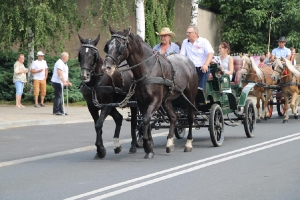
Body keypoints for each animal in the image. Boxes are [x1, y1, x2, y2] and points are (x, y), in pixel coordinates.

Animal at [103, 25, 199, 159]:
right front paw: (149, 147)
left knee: (190, 117)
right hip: (166, 100)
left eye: (120, 46)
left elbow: (146, 120)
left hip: (190, 96)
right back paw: (169, 143)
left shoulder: (155, 101)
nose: (106, 67)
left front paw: (147, 145)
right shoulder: (142, 102)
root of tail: (188, 61)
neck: (147, 69)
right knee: (173, 117)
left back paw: (188, 144)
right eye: (107, 45)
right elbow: (145, 121)